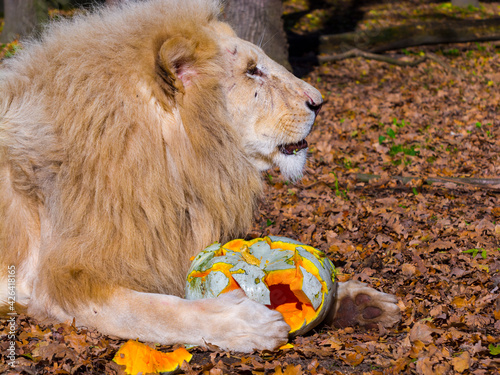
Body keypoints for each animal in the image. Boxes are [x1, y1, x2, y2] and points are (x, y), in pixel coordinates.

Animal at [0, 0, 398, 352]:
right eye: (252, 70)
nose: (319, 102)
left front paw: (356, 301)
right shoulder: (55, 280)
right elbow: (151, 310)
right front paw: (246, 324)